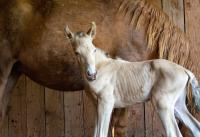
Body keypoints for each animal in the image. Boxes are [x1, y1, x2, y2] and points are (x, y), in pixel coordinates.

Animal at [64, 22, 200, 137]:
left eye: (94, 50)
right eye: (76, 52)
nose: (91, 74)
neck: (101, 67)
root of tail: (185, 70)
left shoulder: (106, 103)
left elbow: (101, 133)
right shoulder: (96, 105)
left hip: (163, 104)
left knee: (174, 133)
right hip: (177, 105)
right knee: (195, 127)